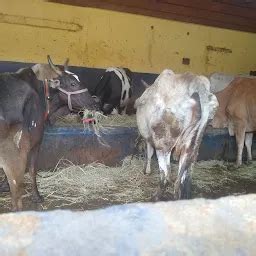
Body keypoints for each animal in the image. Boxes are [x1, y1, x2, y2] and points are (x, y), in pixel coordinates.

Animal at [0, 55, 99, 210]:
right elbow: (33, 169)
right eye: (72, 83)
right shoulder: (36, 141)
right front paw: (37, 196)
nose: (95, 103)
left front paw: (3, 186)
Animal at [136, 69, 218, 200]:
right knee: (184, 178)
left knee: (166, 177)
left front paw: (147, 170)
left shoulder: (149, 138)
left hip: (163, 143)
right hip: (192, 145)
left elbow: (149, 153)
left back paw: (156, 197)